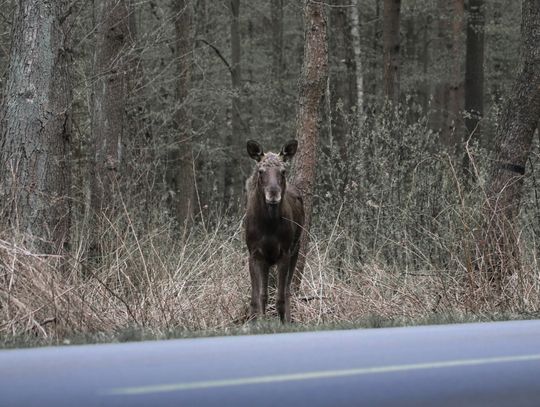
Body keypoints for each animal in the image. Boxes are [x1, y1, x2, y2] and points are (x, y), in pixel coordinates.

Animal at [245, 139, 304, 324]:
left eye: (283, 171)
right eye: (261, 171)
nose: (273, 194)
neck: (268, 225)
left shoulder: (284, 253)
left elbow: (280, 298)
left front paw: (283, 323)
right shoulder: (255, 254)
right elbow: (259, 297)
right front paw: (259, 322)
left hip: (296, 249)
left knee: (287, 290)